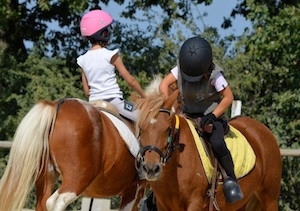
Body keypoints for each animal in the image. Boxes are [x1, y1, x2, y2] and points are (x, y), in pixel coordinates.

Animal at [0, 98, 145, 211]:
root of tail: (57, 106)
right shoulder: (134, 189)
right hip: (76, 179)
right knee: (56, 202)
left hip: (47, 176)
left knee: (43, 204)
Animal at [135, 88, 282, 210]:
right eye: (141, 129)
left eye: (167, 129)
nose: (151, 169)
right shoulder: (163, 206)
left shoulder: (195, 203)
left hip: (270, 199)